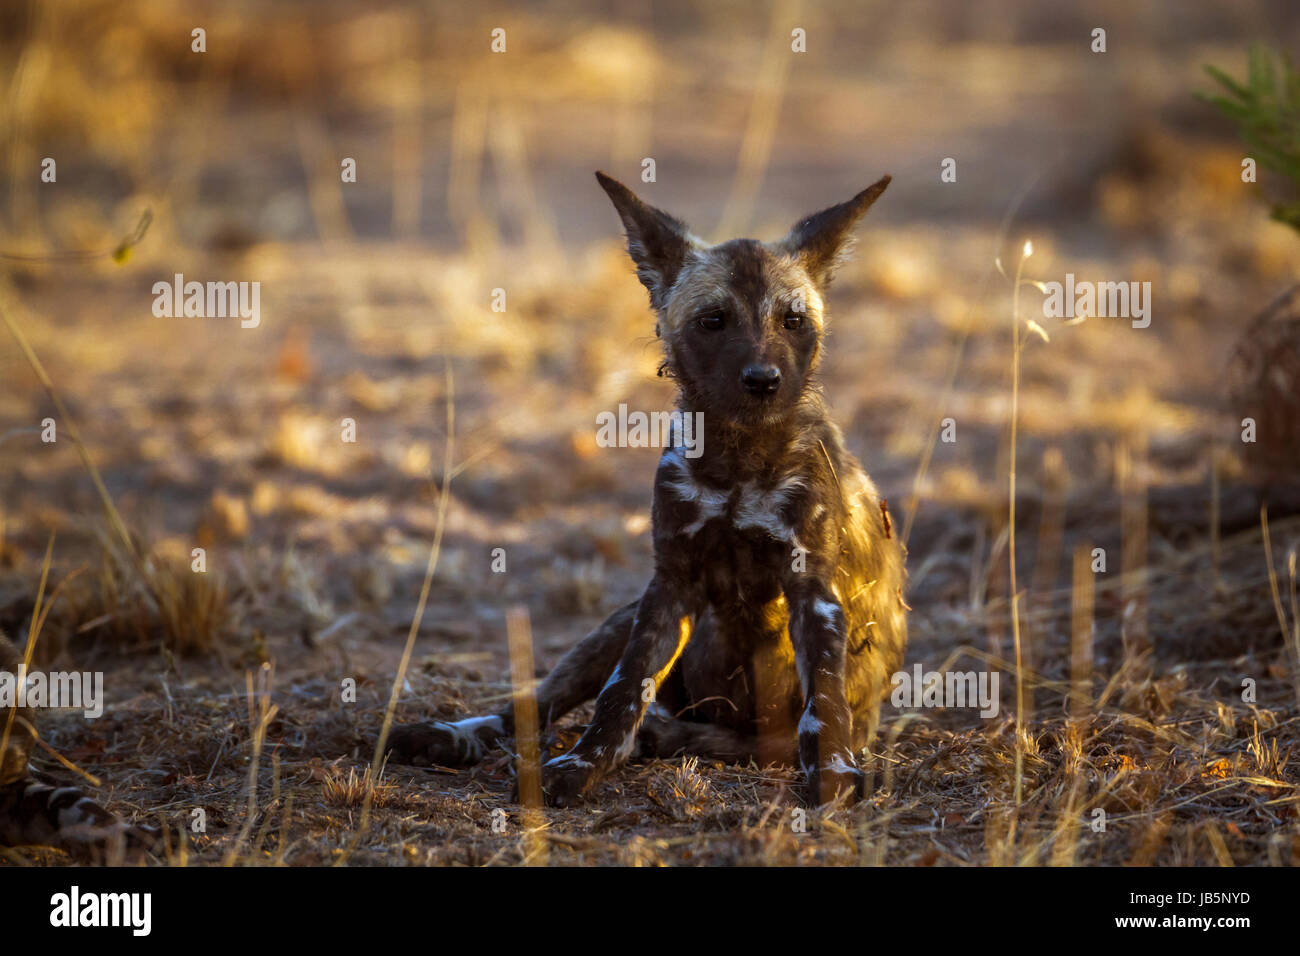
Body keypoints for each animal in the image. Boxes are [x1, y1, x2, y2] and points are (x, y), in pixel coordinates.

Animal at [390, 174, 909, 806]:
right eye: (714, 321)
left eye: (793, 321)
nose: (763, 380)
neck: (738, 462)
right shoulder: (668, 588)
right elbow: (620, 694)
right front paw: (584, 765)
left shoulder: (814, 593)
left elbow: (824, 706)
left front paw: (832, 776)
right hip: (622, 619)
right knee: (532, 706)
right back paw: (450, 736)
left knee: (764, 740)